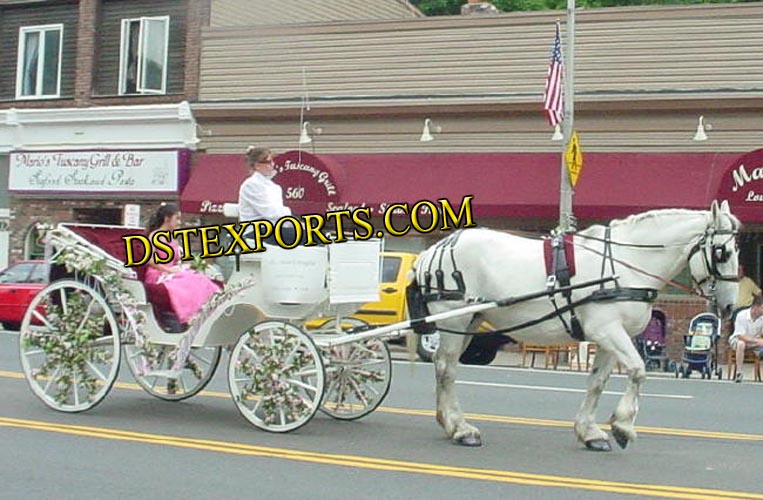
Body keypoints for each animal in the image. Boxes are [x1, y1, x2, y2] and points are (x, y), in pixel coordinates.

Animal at [412, 201, 740, 452]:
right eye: (722, 252)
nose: (730, 307)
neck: (626, 264)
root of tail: (434, 249)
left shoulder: (611, 337)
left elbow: (597, 382)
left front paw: (590, 433)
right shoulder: (606, 330)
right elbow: (638, 370)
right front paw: (622, 426)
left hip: (470, 319)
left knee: (444, 365)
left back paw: (448, 422)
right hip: (453, 318)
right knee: (447, 369)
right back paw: (459, 428)